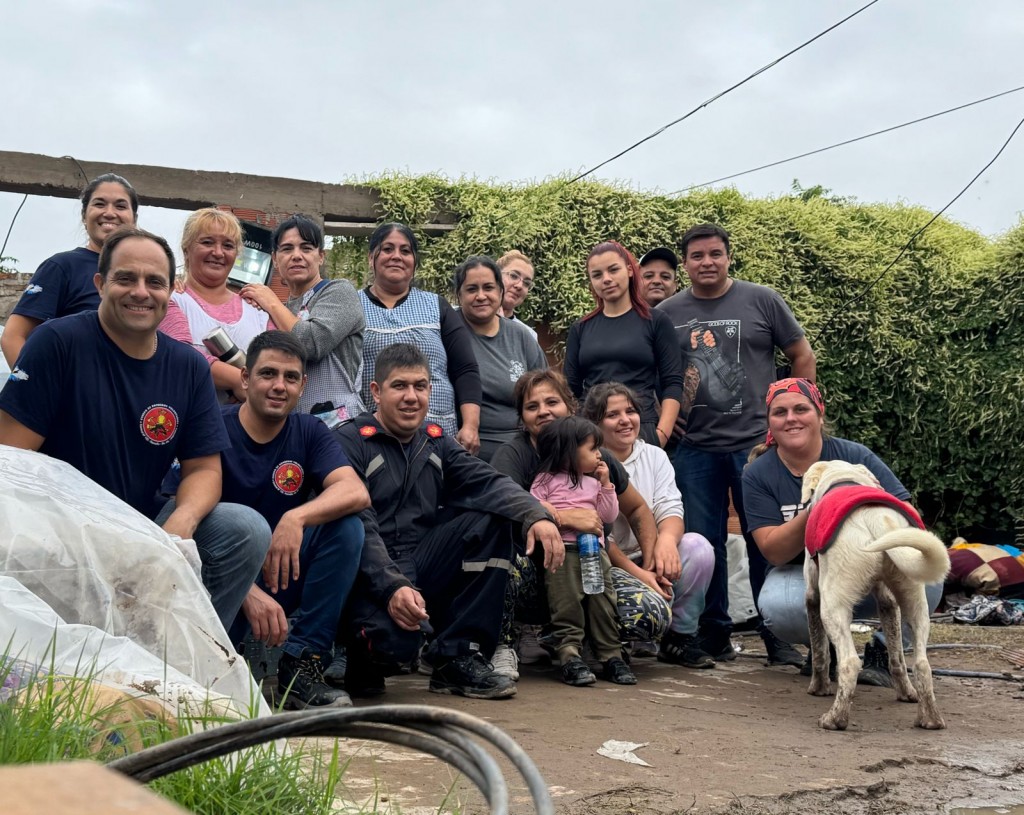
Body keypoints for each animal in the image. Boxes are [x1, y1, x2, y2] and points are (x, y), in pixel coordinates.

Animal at [798, 458, 950, 733]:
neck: (843, 478)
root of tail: (879, 520)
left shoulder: (812, 597)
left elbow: (820, 650)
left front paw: (819, 688)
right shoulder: (888, 601)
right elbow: (897, 657)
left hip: (832, 607)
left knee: (849, 662)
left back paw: (835, 719)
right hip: (915, 602)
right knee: (921, 664)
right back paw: (930, 719)